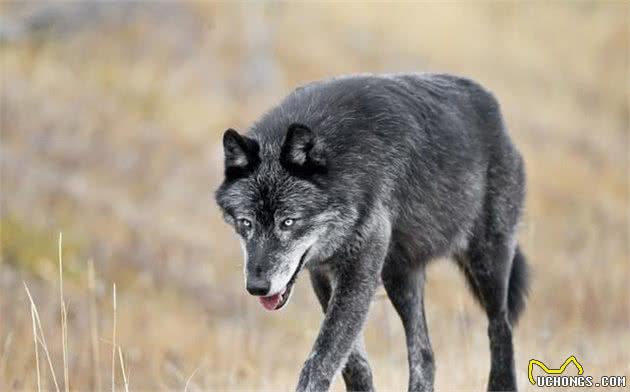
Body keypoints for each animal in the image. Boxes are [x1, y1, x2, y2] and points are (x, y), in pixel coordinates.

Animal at [215, 72, 532, 390]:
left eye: (288, 222)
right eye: (246, 223)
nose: (257, 287)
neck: (344, 167)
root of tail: (490, 103)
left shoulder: (358, 272)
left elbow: (321, 359)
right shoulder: (324, 274)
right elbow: (353, 363)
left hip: (486, 263)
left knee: (500, 327)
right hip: (400, 279)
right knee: (424, 354)